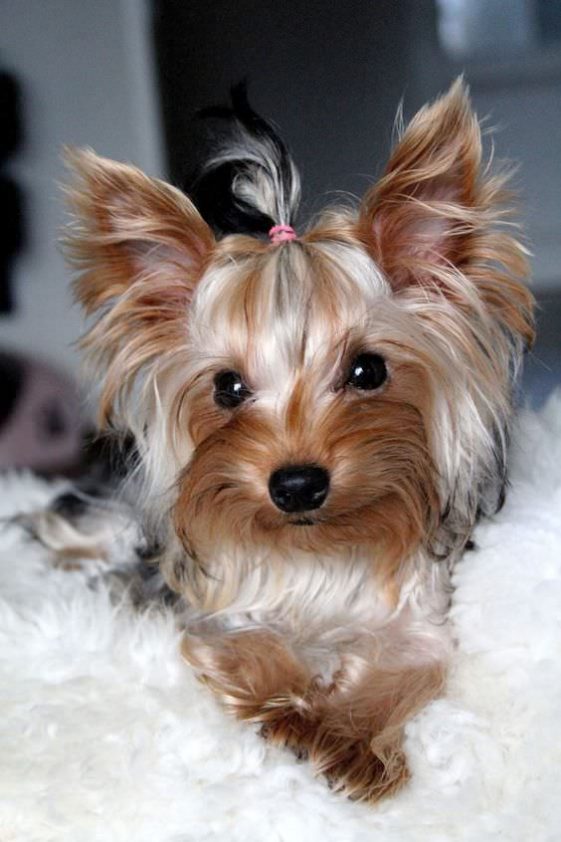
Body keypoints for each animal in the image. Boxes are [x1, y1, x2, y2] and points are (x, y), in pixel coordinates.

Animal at [62, 80, 532, 800]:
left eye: (368, 371)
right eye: (227, 387)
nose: (297, 485)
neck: (318, 550)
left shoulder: (416, 620)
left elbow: (404, 667)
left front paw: (344, 738)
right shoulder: (222, 609)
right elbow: (247, 642)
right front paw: (290, 711)